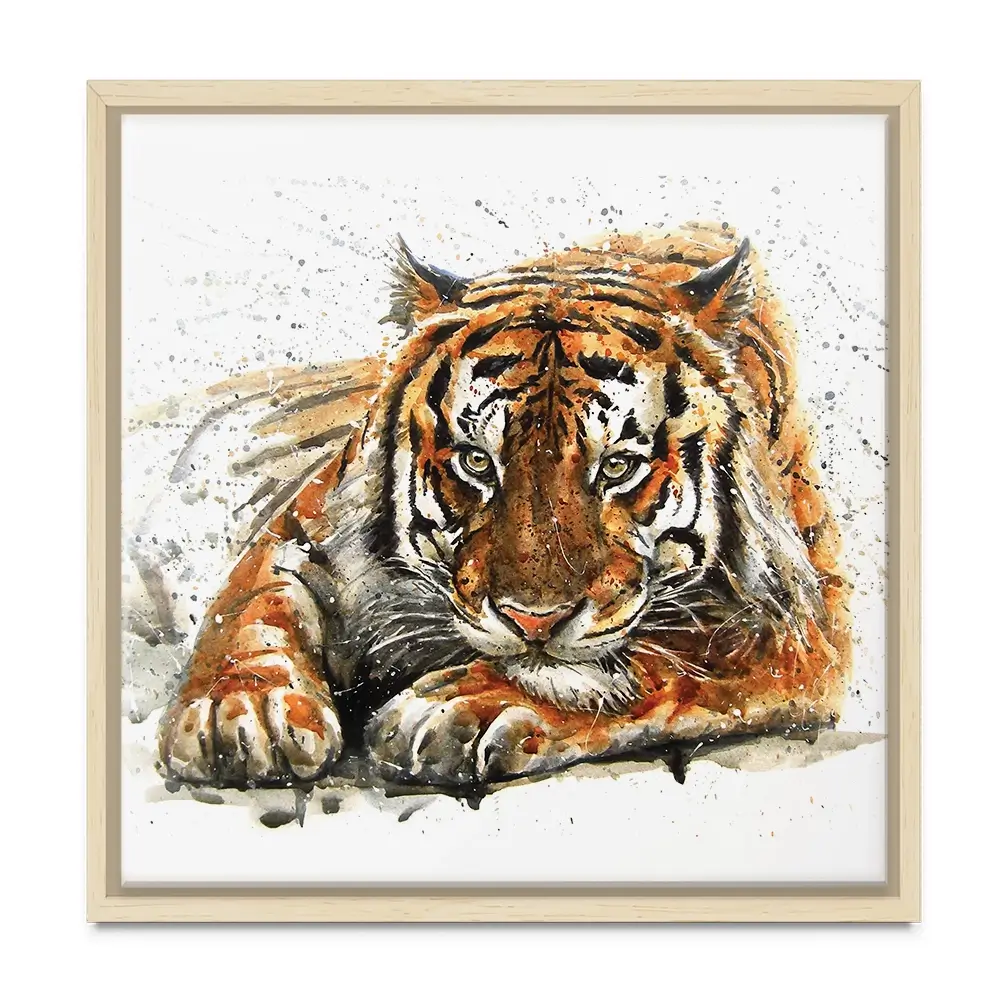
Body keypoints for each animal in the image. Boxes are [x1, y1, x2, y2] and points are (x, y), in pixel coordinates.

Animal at [157, 221, 851, 790]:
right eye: (476, 462)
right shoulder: (306, 525)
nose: (533, 623)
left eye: (618, 467)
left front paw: (464, 706)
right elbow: (252, 605)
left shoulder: (796, 623)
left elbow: (663, 657)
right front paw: (241, 710)